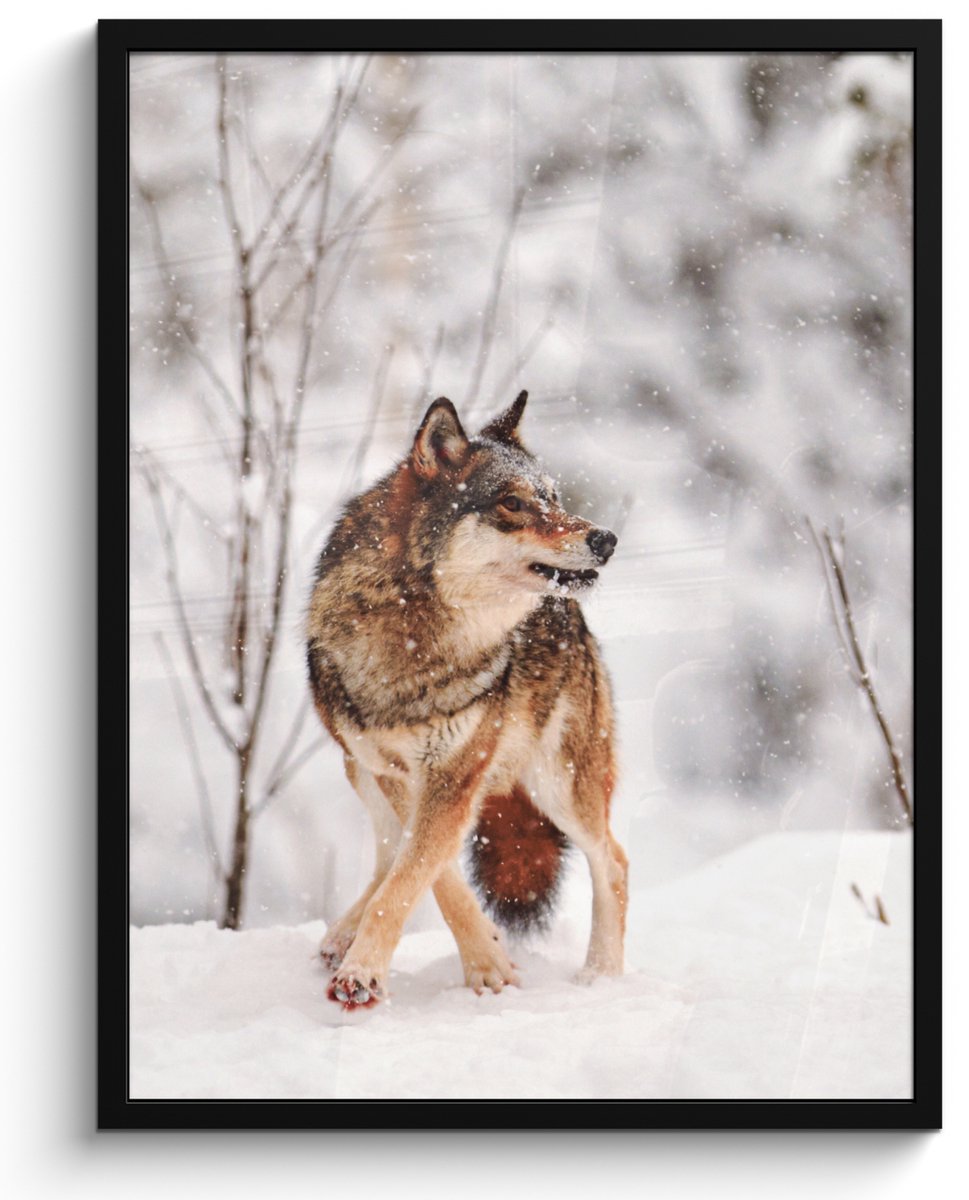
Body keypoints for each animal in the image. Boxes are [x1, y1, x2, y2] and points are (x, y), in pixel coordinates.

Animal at [306, 391, 627, 1009]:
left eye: (554, 498)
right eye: (512, 503)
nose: (605, 539)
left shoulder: (454, 773)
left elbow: (413, 876)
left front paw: (367, 973)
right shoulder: (397, 771)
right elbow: (427, 874)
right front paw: (487, 959)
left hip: (559, 785)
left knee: (615, 863)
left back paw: (601, 977)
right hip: (357, 769)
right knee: (386, 851)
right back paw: (340, 935)